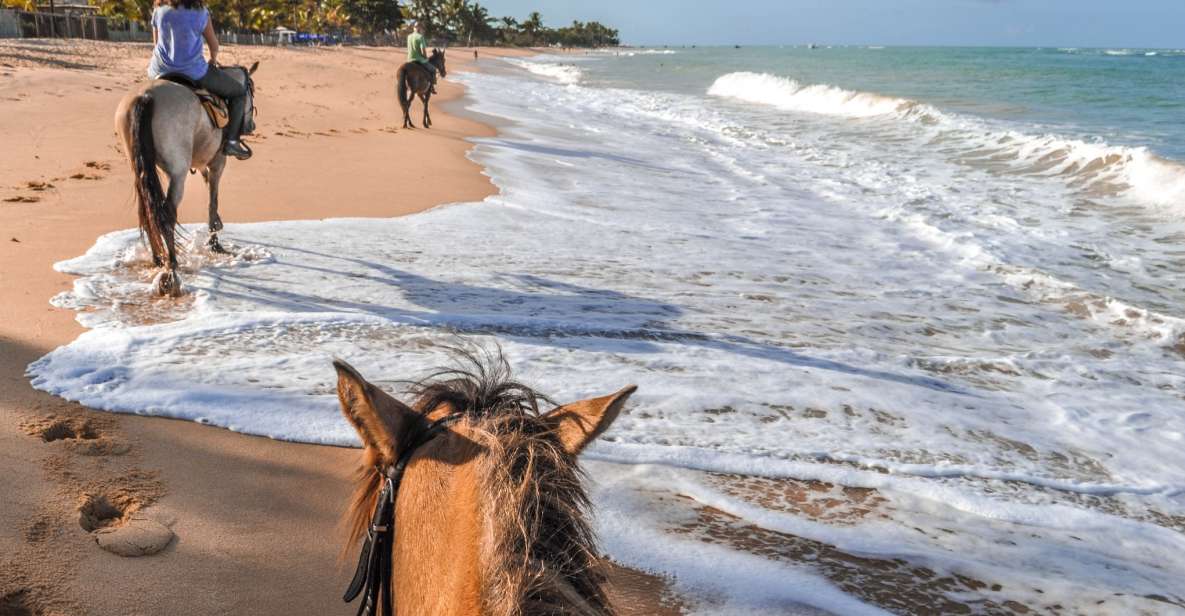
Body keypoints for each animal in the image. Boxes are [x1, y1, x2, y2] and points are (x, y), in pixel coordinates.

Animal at [114, 62, 258, 296]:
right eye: (250, 91)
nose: (251, 126)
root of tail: (145, 97)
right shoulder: (217, 162)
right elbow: (212, 201)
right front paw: (215, 244)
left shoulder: (202, 165)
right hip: (178, 172)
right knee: (167, 213)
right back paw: (171, 267)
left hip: (139, 167)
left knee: (147, 209)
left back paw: (158, 258)